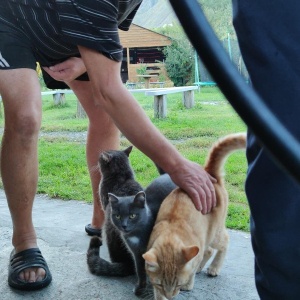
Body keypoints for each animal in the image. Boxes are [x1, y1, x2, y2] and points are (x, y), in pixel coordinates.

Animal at [143, 134, 246, 300]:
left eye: (178, 284)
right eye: (160, 284)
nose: (171, 296)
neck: (171, 235)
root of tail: (209, 173)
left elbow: (192, 269)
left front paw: (189, 283)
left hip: (214, 234)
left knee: (224, 242)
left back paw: (214, 267)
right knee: (208, 250)